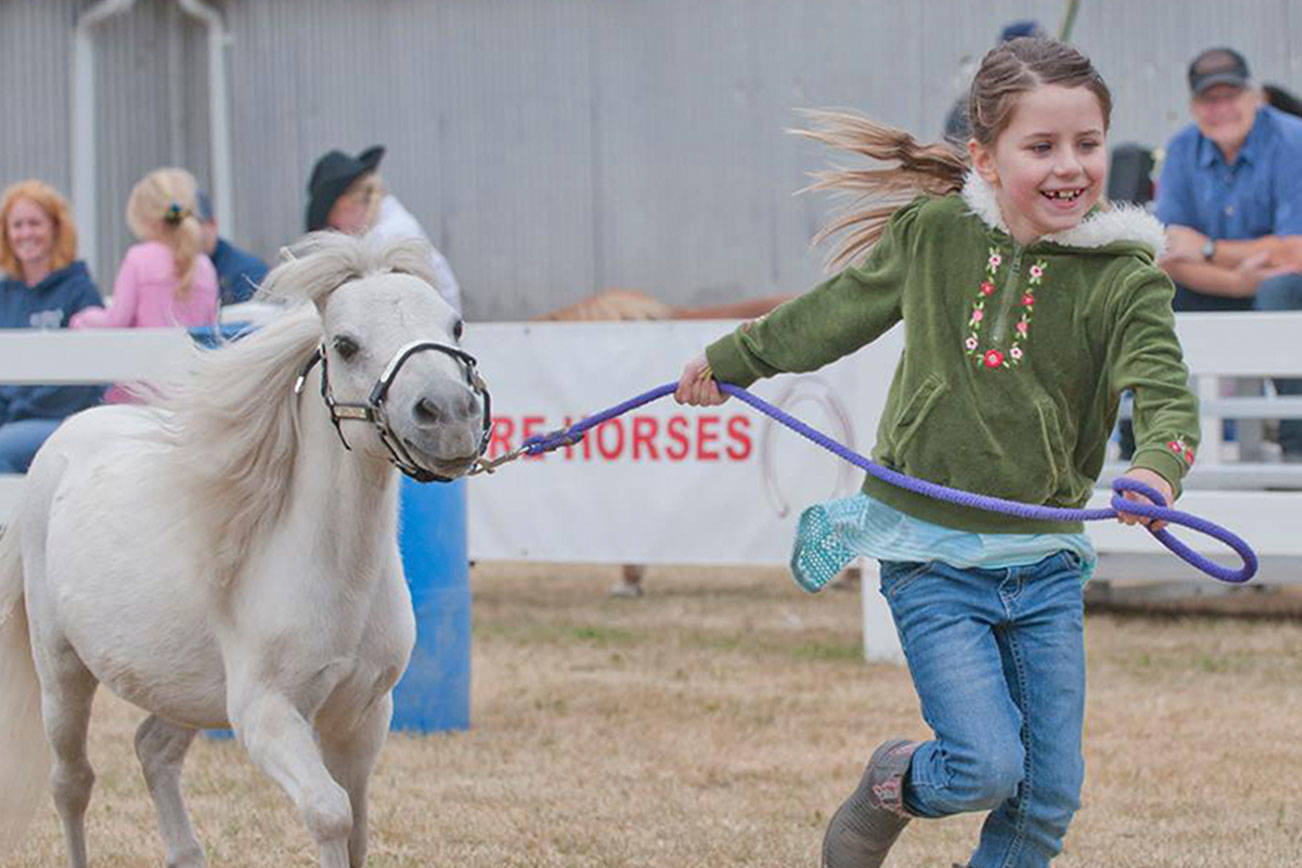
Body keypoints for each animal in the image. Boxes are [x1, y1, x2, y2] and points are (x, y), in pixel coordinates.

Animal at [0, 234, 489, 864]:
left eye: (455, 326)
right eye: (345, 344)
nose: (449, 414)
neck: (335, 575)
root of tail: (62, 440)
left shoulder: (364, 714)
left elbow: (357, 825)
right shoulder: (264, 715)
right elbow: (330, 813)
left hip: (184, 688)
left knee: (152, 749)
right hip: (61, 672)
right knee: (72, 783)